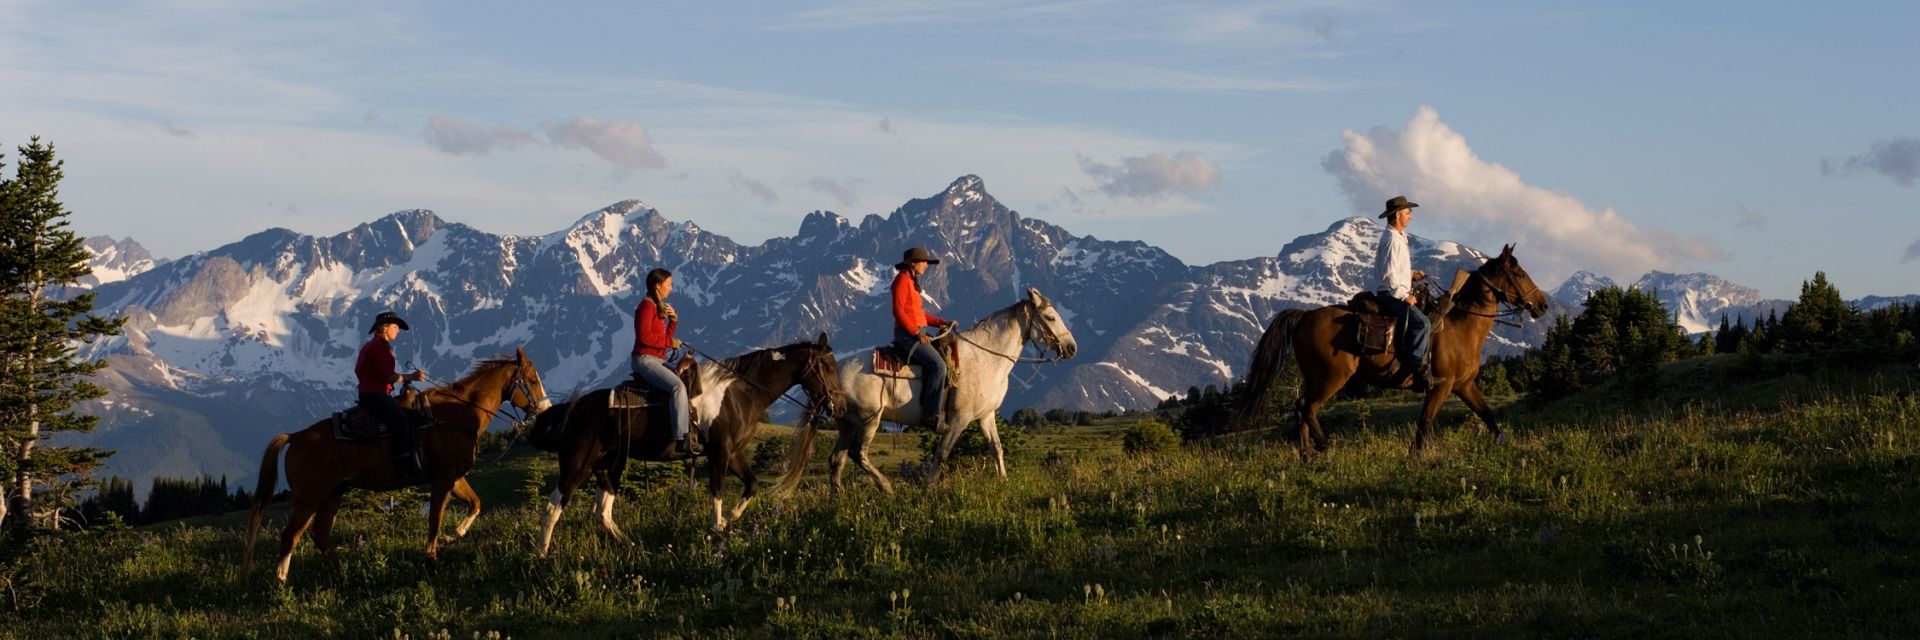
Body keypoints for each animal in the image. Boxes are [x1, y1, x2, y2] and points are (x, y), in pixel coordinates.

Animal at [243, 345, 552, 580]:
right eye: (532, 380)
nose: (545, 409)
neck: (456, 415)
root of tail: (296, 437)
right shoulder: (442, 479)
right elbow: (435, 520)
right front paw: (431, 560)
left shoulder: (454, 477)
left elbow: (475, 504)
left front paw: (451, 539)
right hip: (309, 497)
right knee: (290, 536)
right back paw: (281, 583)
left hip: (333, 494)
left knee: (320, 535)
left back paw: (341, 577)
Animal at [533, 334, 848, 553]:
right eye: (827, 365)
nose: (841, 406)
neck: (739, 392)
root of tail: (575, 408)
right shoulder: (720, 452)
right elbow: (717, 491)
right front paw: (716, 530)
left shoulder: (734, 453)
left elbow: (752, 485)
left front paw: (729, 521)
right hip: (577, 463)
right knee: (554, 507)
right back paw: (542, 555)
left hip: (609, 465)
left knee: (602, 511)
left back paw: (632, 545)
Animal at [1236, 244, 1551, 453]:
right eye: (1520, 274)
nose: (1543, 305)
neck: (1462, 327)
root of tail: (1304, 316)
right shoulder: (1440, 386)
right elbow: (1425, 422)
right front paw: (1416, 457)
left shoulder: (1463, 385)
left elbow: (1487, 415)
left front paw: (1504, 444)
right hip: (1331, 378)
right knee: (1306, 407)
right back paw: (1324, 446)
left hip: (1314, 378)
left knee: (1301, 409)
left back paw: (1307, 456)